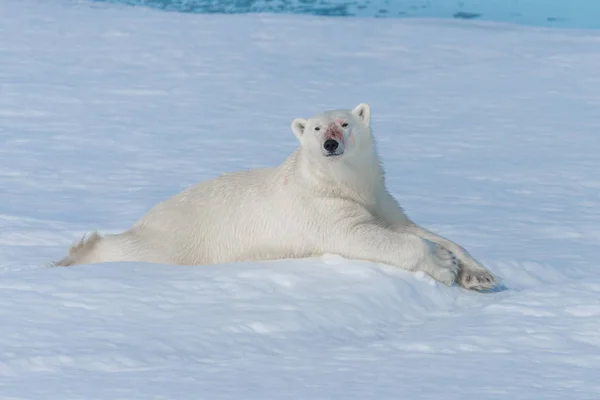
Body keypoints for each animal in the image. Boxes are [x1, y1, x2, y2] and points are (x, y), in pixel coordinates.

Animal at [55, 103, 496, 290]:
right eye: (316, 128)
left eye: (344, 123)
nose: (331, 143)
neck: (342, 183)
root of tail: (144, 221)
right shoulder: (320, 210)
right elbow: (362, 235)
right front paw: (443, 264)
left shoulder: (379, 197)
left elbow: (409, 226)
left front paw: (478, 273)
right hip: (177, 243)